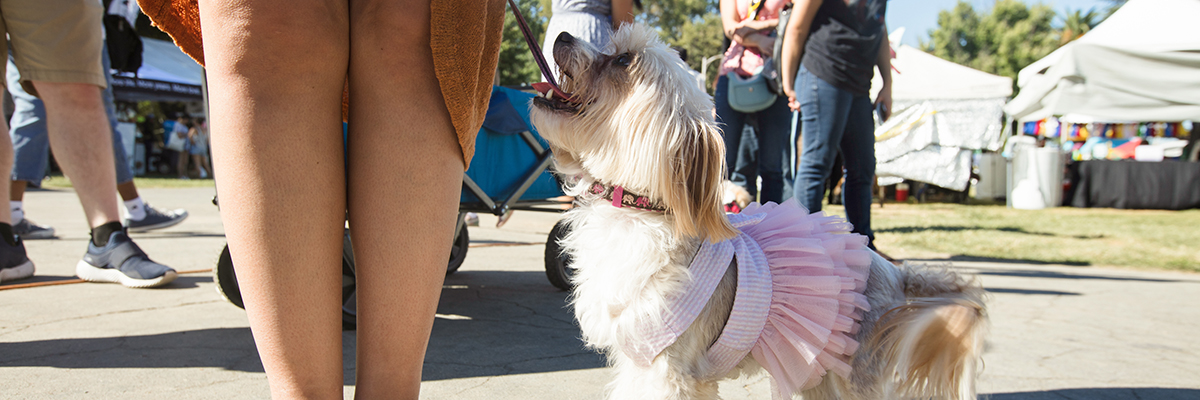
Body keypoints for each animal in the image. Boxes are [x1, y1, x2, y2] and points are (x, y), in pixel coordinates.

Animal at [530, 23, 979, 396]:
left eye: (623, 60)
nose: (563, 35)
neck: (638, 208)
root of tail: (896, 274)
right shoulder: (638, 363)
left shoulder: (667, 371)